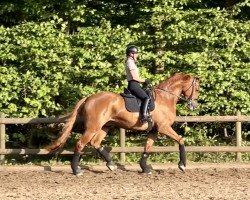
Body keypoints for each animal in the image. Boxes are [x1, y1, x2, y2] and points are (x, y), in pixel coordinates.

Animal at [47, 73, 200, 175]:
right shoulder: (164, 128)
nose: (194, 105)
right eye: (197, 89)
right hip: (93, 127)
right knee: (80, 144)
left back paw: (111, 165)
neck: (165, 98)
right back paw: (76, 170)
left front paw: (145, 168)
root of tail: (89, 98)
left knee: (95, 143)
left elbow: (147, 148)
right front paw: (182, 165)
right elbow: (181, 140)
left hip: (105, 126)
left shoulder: (154, 130)